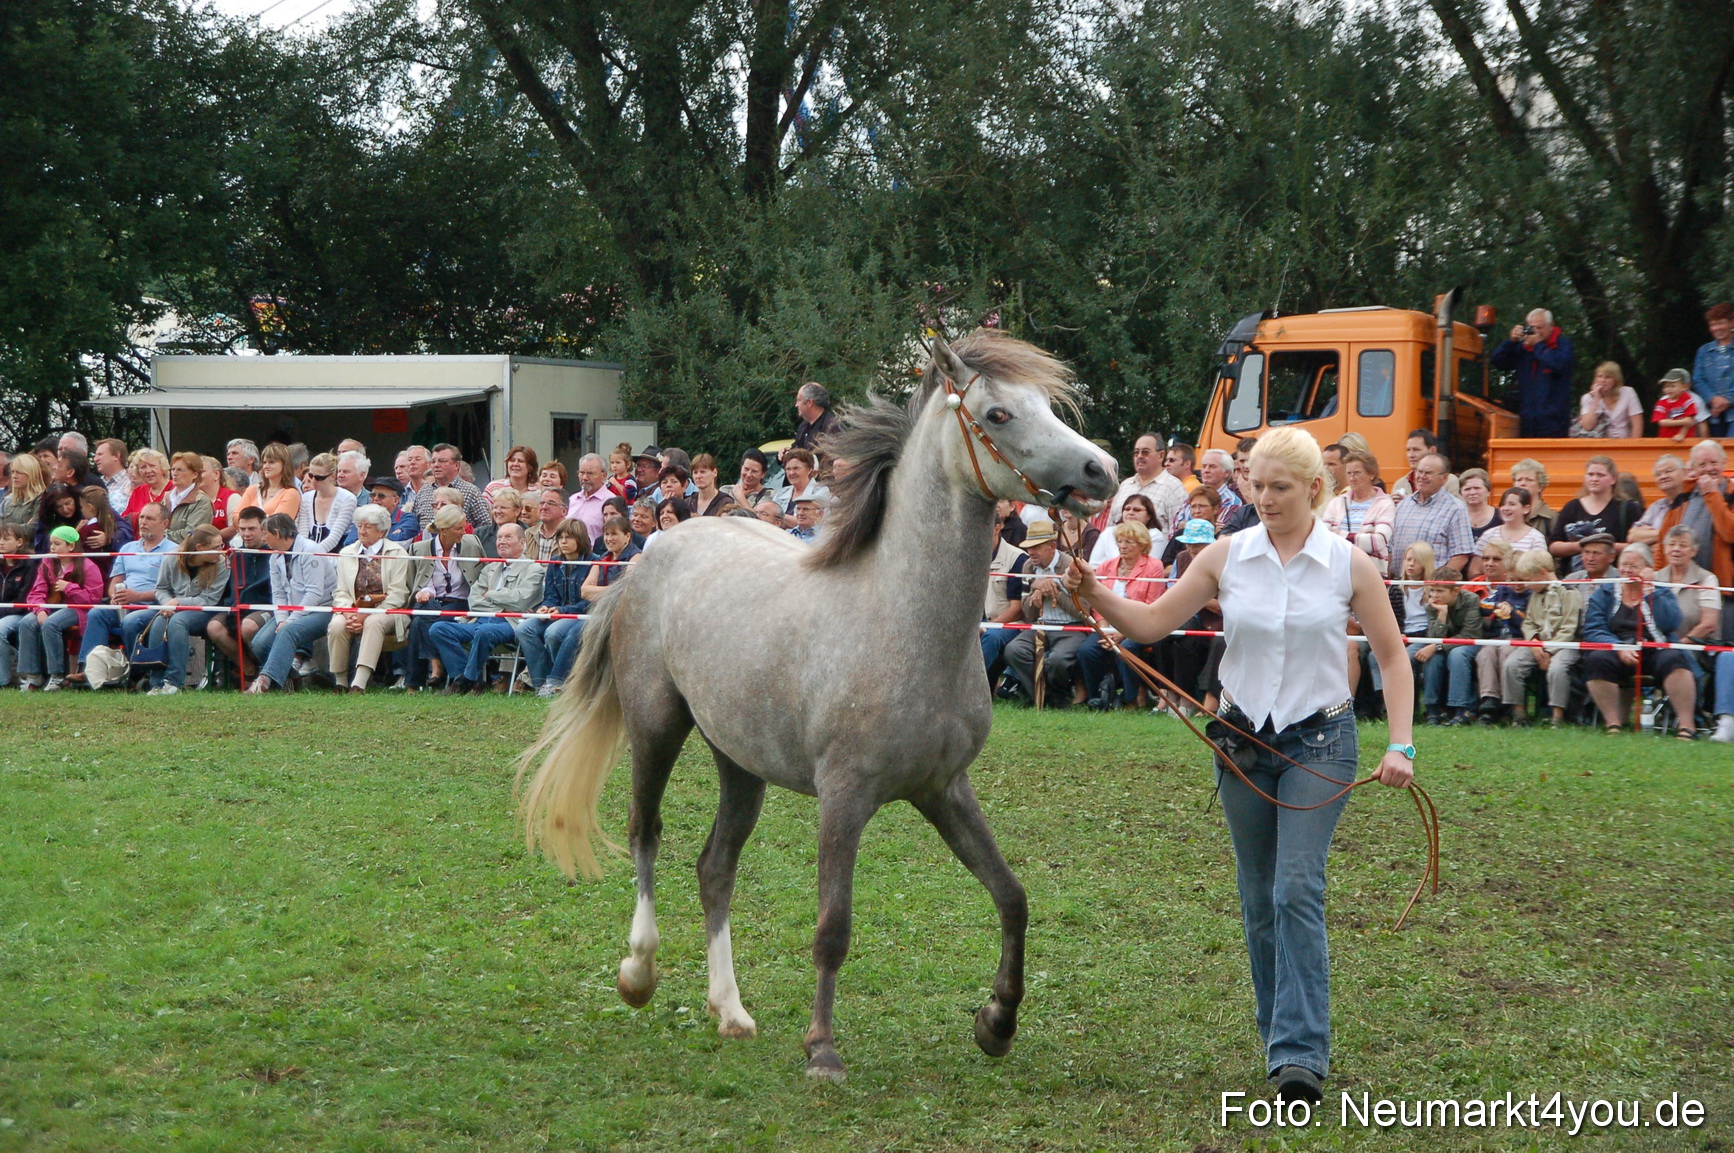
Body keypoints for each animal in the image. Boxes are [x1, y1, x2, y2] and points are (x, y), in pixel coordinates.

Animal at [517, 329, 1118, 1081]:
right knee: (644, 834)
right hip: (657, 726)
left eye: (1046, 403)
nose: (1103, 470)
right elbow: (834, 927)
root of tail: (654, 549)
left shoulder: (944, 788)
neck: (901, 619)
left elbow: (1012, 896)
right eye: (1000, 413)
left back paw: (731, 1011)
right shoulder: (845, 796)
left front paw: (996, 1023)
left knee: (715, 867)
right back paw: (639, 973)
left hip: (739, 761)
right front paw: (822, 1048)